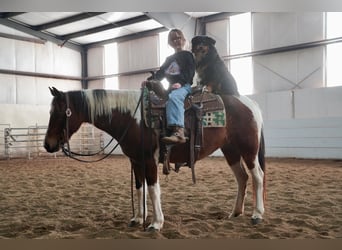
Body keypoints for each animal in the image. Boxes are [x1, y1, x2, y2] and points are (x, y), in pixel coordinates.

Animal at [44, 86, 266, 230]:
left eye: (59, 113)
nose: (48, 144)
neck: (132, 118)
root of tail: (250, 104)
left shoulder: (150, 160)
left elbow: (152, 190)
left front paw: (156, 223)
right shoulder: (136, 161)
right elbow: (139, 188)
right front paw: (138, 218)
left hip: (248, 150)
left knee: (257, 177)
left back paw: (257, 214)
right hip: (231, 151)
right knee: (242, 178)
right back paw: (235, 213)